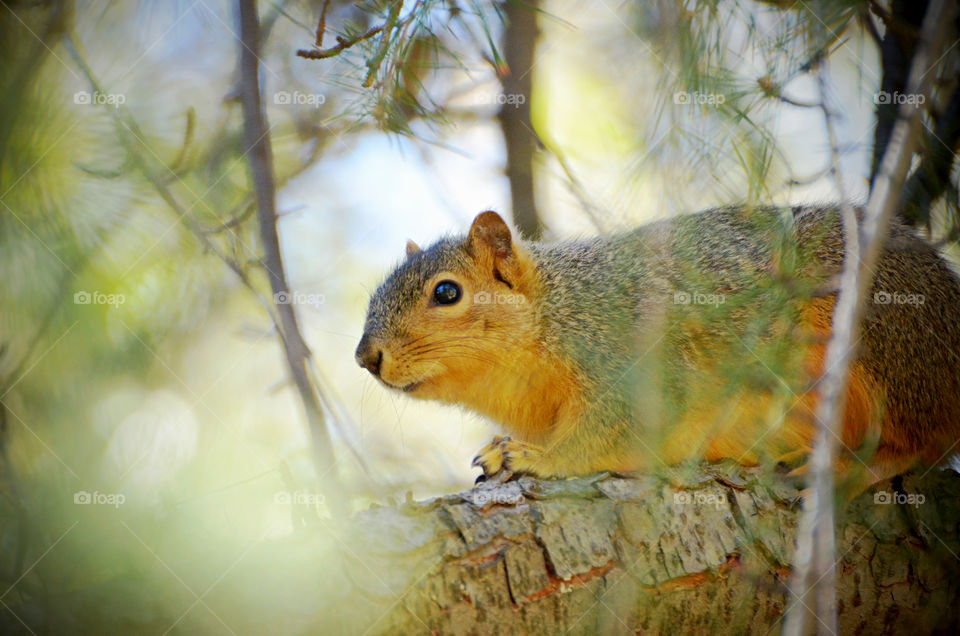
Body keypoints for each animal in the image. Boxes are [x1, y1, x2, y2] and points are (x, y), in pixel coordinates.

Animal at [356, 206, 960, 494]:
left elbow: (604, 436)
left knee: (925, 440)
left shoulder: (641, 365)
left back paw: (849, 468)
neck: (557, 313)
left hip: (888, 343)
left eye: (447, 293)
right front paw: (503, 446)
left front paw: (536, 457)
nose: (366, 357)